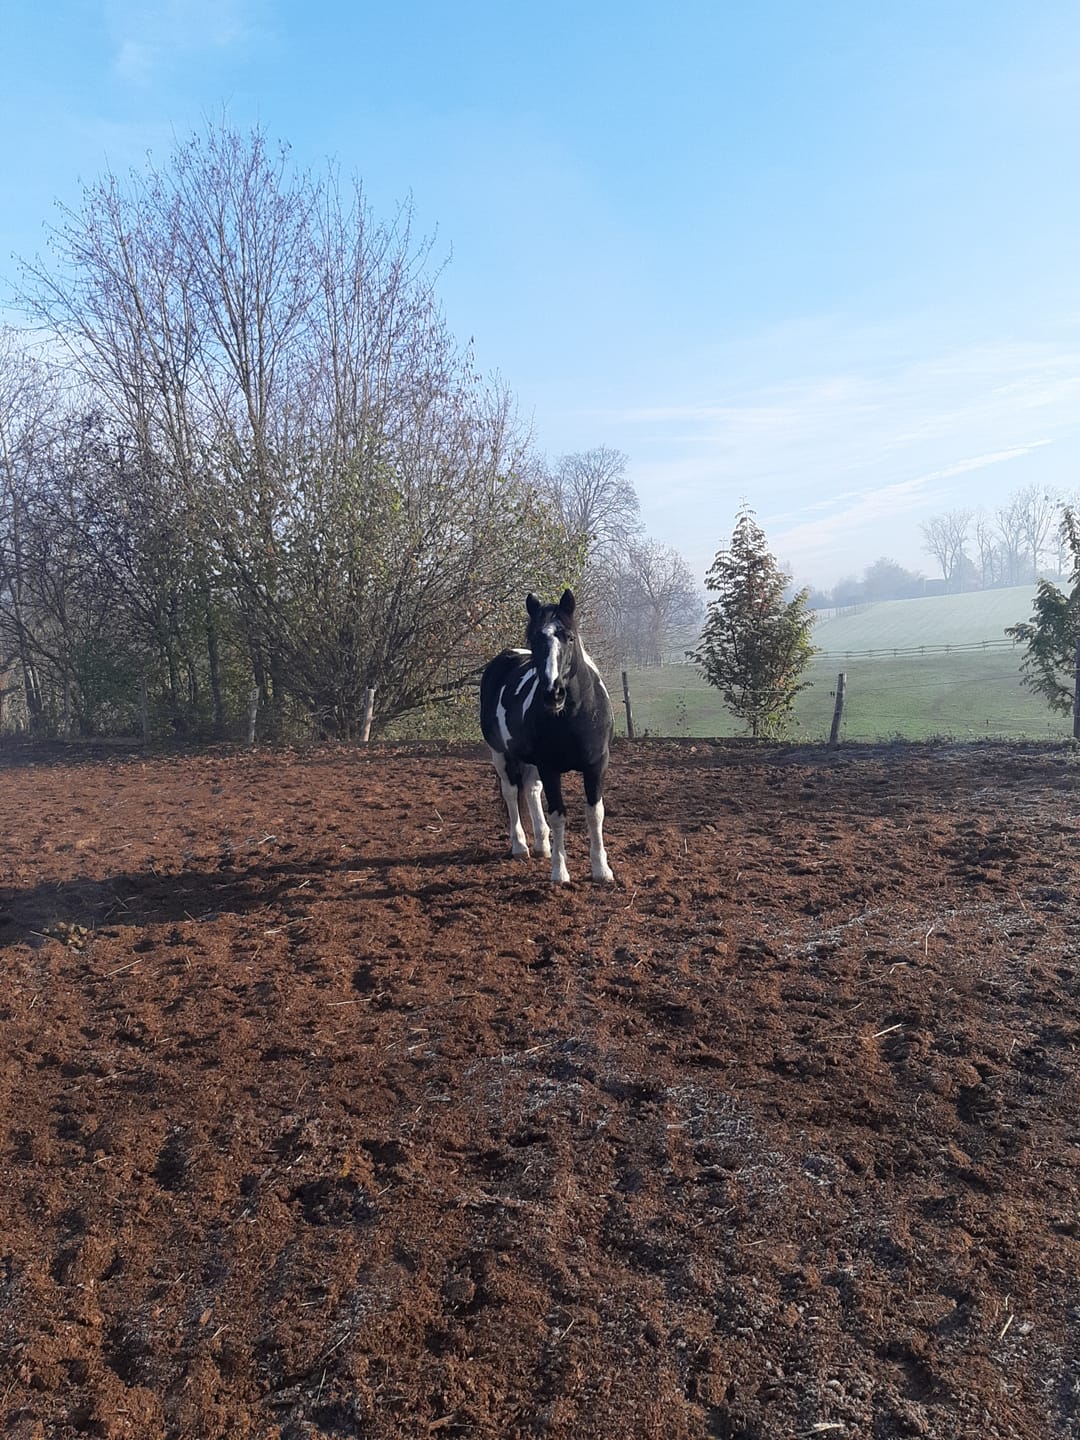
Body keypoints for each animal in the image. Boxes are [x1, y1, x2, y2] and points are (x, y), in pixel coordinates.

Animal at [479, 589, 614, 885]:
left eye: (570, 637)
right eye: (535, 639)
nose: (553, 694)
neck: (574, 716)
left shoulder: (596, 765)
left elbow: (595, 813)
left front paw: (601, 870)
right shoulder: (550, 767)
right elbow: (558, 815)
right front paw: (559, 871)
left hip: (530, 760)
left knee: (531, 789)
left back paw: (542, 845)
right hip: (500, 753)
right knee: (511, 792)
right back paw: (520, 846)